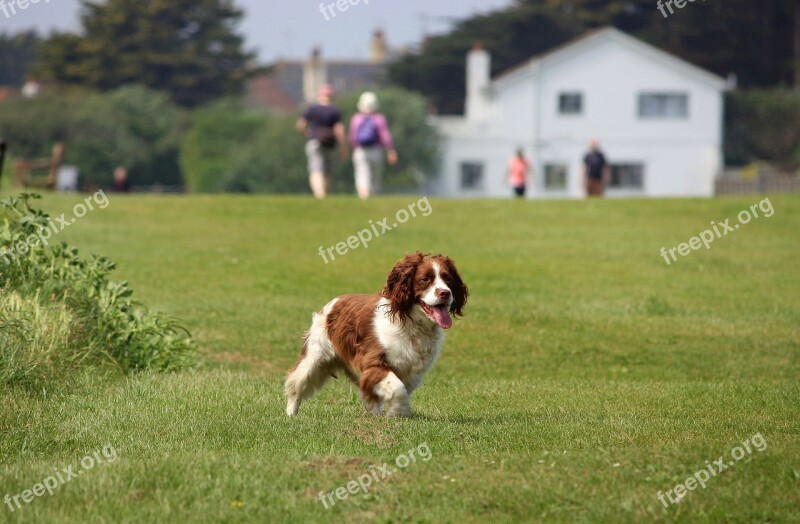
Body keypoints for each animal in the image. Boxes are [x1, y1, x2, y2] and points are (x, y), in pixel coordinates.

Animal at [284, 252, 466, 420]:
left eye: (448, 279)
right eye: (425, 279)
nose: (445, 293)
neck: (412, 324)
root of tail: (334, 302)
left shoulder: (412, 372)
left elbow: (397, 389)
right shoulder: (374, 364)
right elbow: (398, 389)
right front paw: (399, 413)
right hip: (315, 358)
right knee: (296, 384)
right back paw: (290, 414)